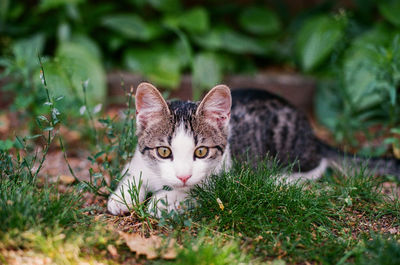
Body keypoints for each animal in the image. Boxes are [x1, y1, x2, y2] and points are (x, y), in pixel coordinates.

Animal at [107, 82, 400, 214]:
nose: (183, 175)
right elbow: (132, 170)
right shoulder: (138, 158)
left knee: (318, 165)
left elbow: (198, 191)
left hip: (290, 145)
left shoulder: (223, 179)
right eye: (164, 152)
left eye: (201, 152)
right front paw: (122, 196)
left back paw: (281, 178)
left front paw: (165, 199)